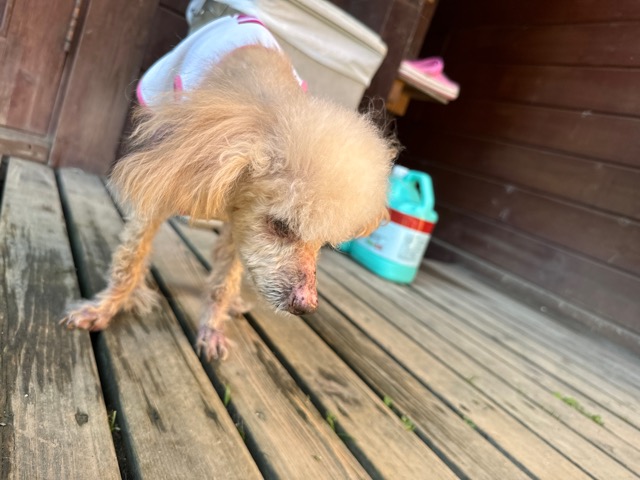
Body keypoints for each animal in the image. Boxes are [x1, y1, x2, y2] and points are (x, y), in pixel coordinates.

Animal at [61, 13, 397, 360]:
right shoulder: (166, 180)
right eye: (281, 226)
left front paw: (212, 327)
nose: (306, 306)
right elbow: (131, 258)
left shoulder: (242, 226)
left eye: (324, 244)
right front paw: (105, 308)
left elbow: (225, 279)